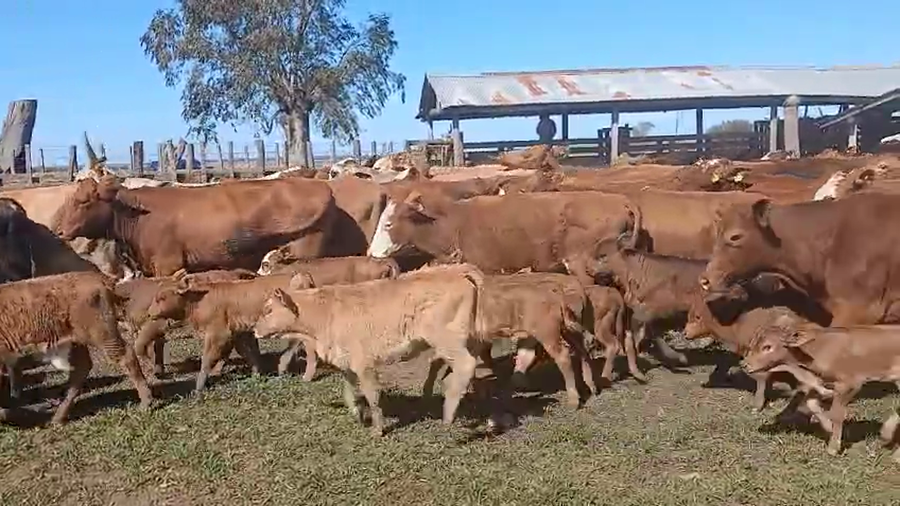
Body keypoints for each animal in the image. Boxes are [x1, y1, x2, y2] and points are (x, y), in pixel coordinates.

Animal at [253, 264, 487, 436]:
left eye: (269, 310)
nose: (254, 329)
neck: (325, 312)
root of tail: (457, 270)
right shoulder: (346, 361)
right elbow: (349, 391)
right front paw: (357, 413)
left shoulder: (363, 362)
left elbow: (371, 395)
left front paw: (378, 429)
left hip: (448, 340)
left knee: (466, 364)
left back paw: (448, 414)